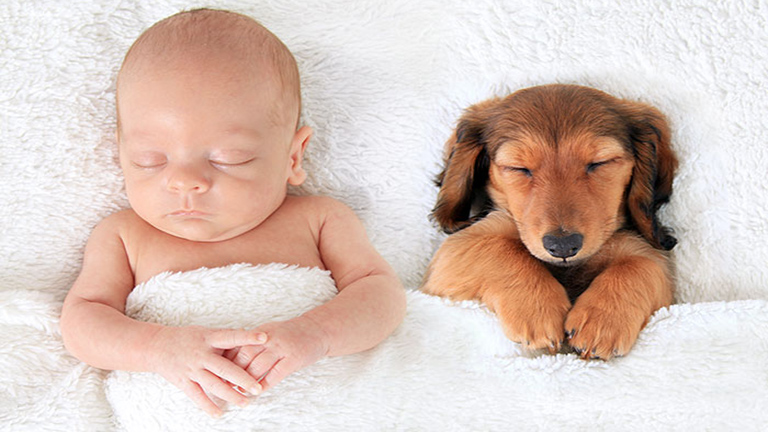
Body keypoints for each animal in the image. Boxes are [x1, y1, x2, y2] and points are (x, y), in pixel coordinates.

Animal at [421, 84, 677, 360]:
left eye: (599, 163)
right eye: (518, 168)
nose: (563, 246)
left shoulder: (642, 252)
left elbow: (641, 265)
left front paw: (602, 321)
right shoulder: (452, 253)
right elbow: (500, 247)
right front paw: (538, 309)